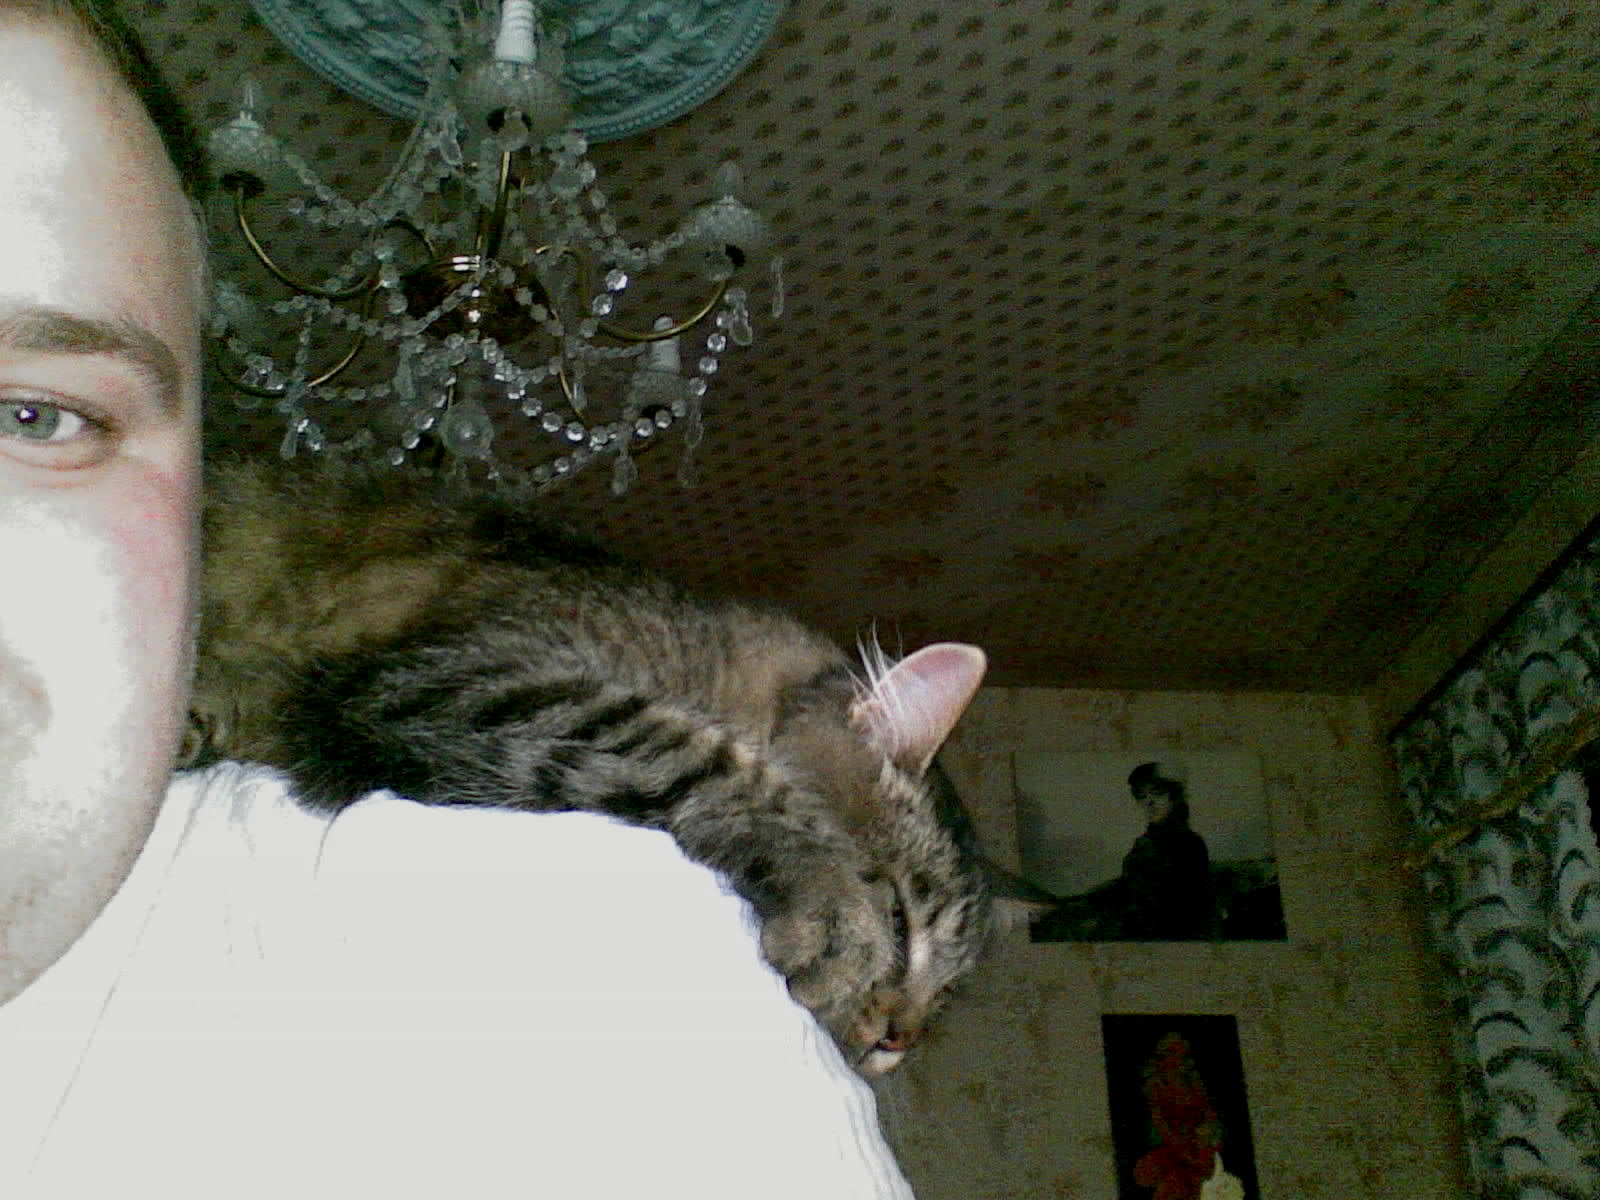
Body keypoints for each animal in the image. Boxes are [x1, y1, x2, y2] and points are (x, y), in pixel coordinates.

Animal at [185, 460, 1031, 1075]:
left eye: (940, 1006)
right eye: (900, 923)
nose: (897, 1041)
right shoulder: (461, 677)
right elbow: (710, 756)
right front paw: (835, 914)